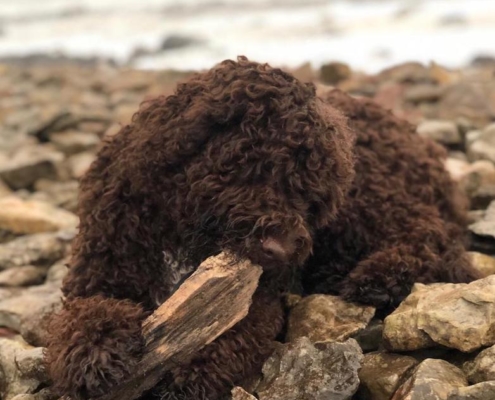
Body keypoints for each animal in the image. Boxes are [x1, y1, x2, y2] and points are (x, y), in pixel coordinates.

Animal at [45, 56, 480, 400]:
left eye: (310, 197)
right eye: (259, 168)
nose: (282, 249)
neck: (180, 230)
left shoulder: (257, 298)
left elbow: (231, 332)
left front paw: (192, 373)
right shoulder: (100, 271)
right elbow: (84, 314)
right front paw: (97, 352)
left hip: (371, 199)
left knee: (436, 240)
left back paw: (381, 277)